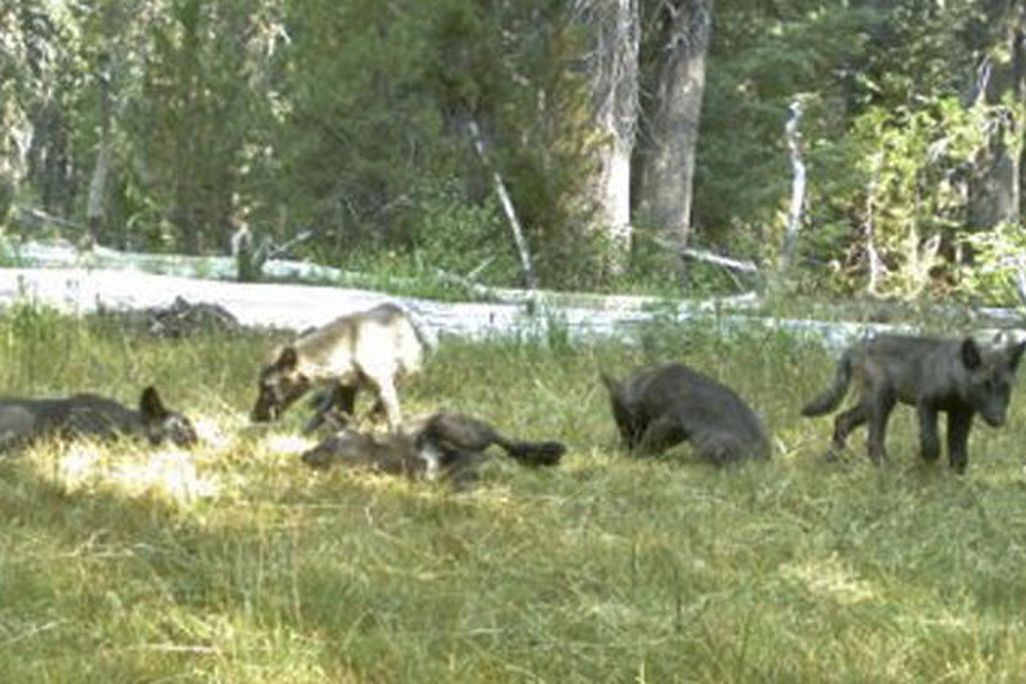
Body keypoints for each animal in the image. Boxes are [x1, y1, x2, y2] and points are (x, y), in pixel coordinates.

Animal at [251, 302, 427, 432]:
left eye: (267, 386)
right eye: (260, 385)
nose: (254, 416)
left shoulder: (384, 385)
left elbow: (393, 420)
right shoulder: (345, 388)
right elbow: (343, 419)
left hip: (403, 375)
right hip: (338, 392)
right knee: (322, 412)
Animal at [801, 334, 1026, 472]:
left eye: (1005, 387)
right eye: (982, 386)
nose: (997, 419)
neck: (954, 376)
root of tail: (856, 346)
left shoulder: (961, 416)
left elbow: (959, 451)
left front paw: (956, 479)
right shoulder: (925, 403)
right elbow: (932, 441)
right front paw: (925, 462)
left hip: (871, 404)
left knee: (842, 420)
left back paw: (831, 458)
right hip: (880, 401)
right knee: (873, 439)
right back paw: (886, 469)